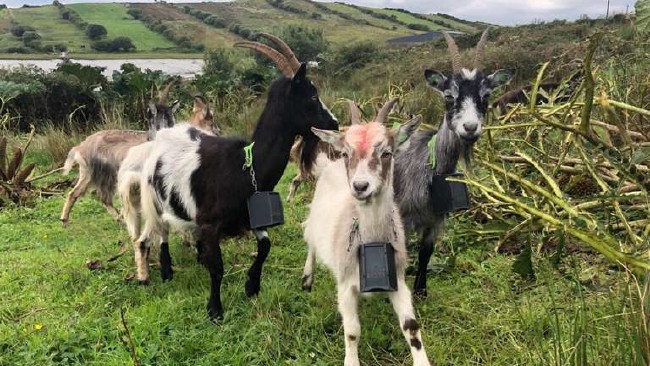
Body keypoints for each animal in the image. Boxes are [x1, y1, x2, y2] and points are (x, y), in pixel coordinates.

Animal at [128, 34, 336, 320]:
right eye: (313, 96)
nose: (335, 123)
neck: (244, 166)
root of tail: (164, 134)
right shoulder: (209, 224)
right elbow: (218, 269)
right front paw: (215, 309)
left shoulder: (251, 216)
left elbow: (265, 246)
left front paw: (252, 285)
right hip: (155, 198)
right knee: (161, 230)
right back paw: (167, 270)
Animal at [302, 99, 428, 366]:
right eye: (346, 153)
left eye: (387, 152)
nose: (360, 186)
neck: (371, 243)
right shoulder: (344, 286)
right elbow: (352, 331)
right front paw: (351, 361)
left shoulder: (399, 281)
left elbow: (411, 327)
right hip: (315, 219)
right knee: (310, 242)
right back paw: (307, 278)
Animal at [392, 29, 512, 298]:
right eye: (449, 96)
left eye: (486, 95)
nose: (470, 127)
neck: (430, 168)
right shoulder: (403, 217)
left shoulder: (436, 221)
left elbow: (426, 253)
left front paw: (421, 290)